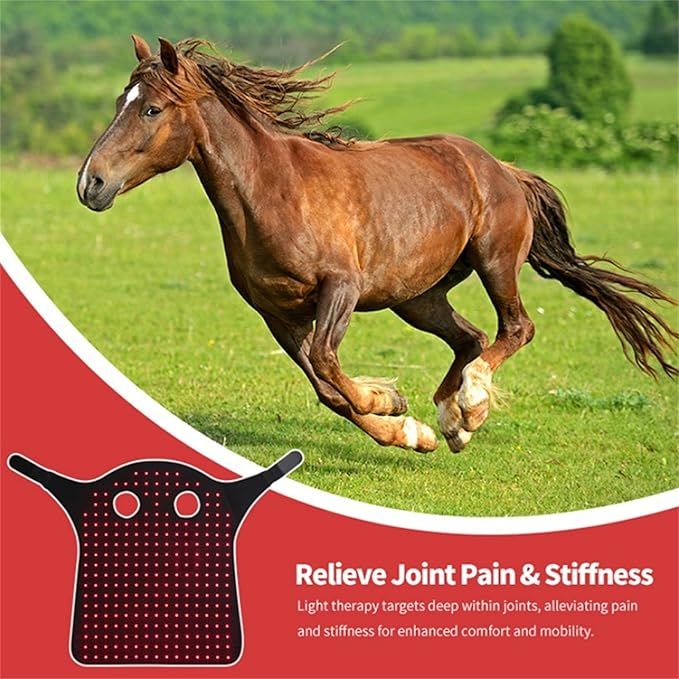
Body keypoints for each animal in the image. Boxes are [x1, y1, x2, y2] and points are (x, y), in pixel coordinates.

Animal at [77, 36, 678, 454]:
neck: (272, 192)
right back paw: (452, 423)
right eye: (121, 100)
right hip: (417, 297)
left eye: (151, 109)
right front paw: (407, 428)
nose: (91, 183)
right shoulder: (277, 314)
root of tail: (502, 168)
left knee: (514, 329)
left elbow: (329, 365)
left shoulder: (340, 287)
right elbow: (326, 389)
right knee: (471, 337)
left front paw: (387, 400)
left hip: (494, 261)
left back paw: (472, 405)